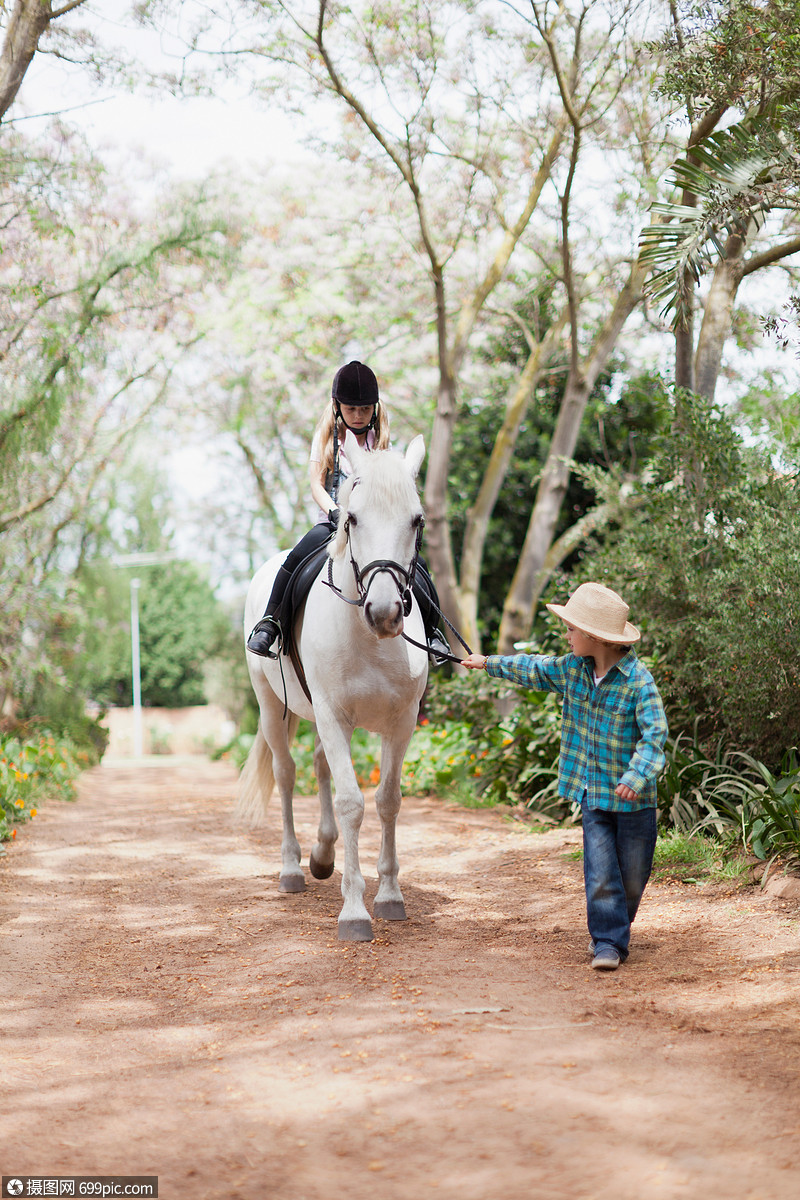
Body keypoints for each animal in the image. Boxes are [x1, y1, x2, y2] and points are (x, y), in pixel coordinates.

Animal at [237, 436, 431, 940]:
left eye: (416, 520)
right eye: (353, 519)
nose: (384, 613)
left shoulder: (400, 722)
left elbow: (387, 801)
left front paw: (389, 896)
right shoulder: (331, 714)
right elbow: (351, 803)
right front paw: (355, 912)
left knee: (321, 764)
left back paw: (323, 856)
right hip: (273, 707)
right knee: (286, 773)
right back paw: (292, 869)